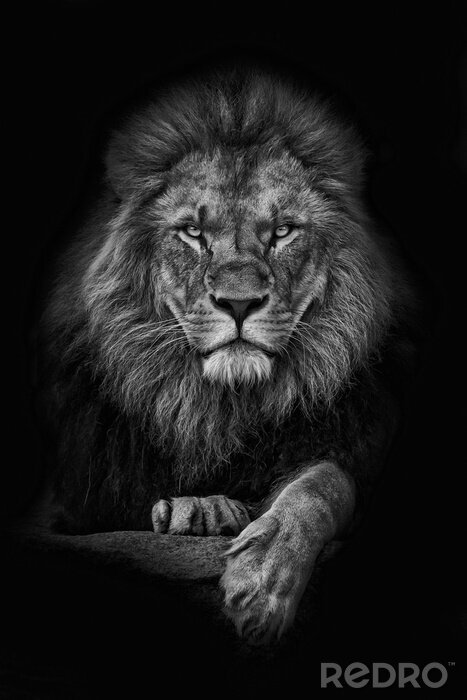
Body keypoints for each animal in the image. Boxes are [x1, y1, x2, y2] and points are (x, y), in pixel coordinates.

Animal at [37, 63, 419, 645]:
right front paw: (199, 509)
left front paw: (263, 581)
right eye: (193, 232)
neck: (221, 408)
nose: (239, 303)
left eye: (282, 231)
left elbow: (323, 484)